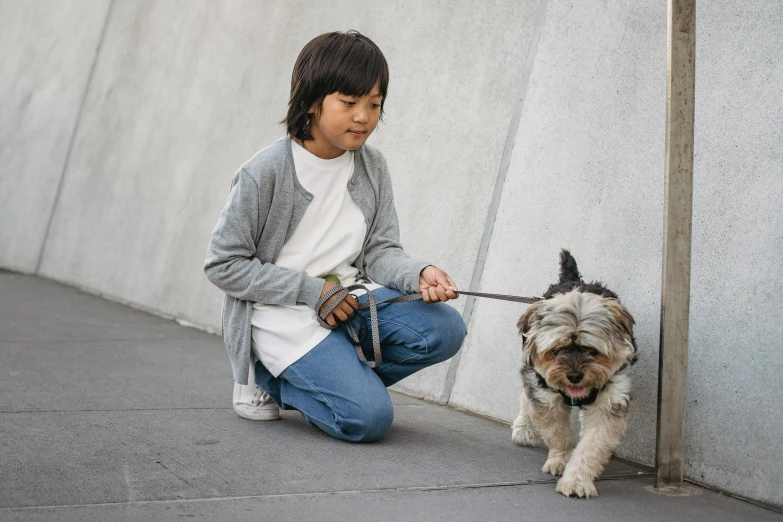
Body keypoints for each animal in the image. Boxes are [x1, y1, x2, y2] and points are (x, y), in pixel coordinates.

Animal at [516, 250, 636, 498]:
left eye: (593, 351)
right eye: (556, 350)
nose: (574, 376)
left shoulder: (610, 399)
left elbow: (592, 446)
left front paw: (576, 481)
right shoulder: (545, 396)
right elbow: (558, 433)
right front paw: (560, 460)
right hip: (532, 371)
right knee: (526, 392)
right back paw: (523, 427)